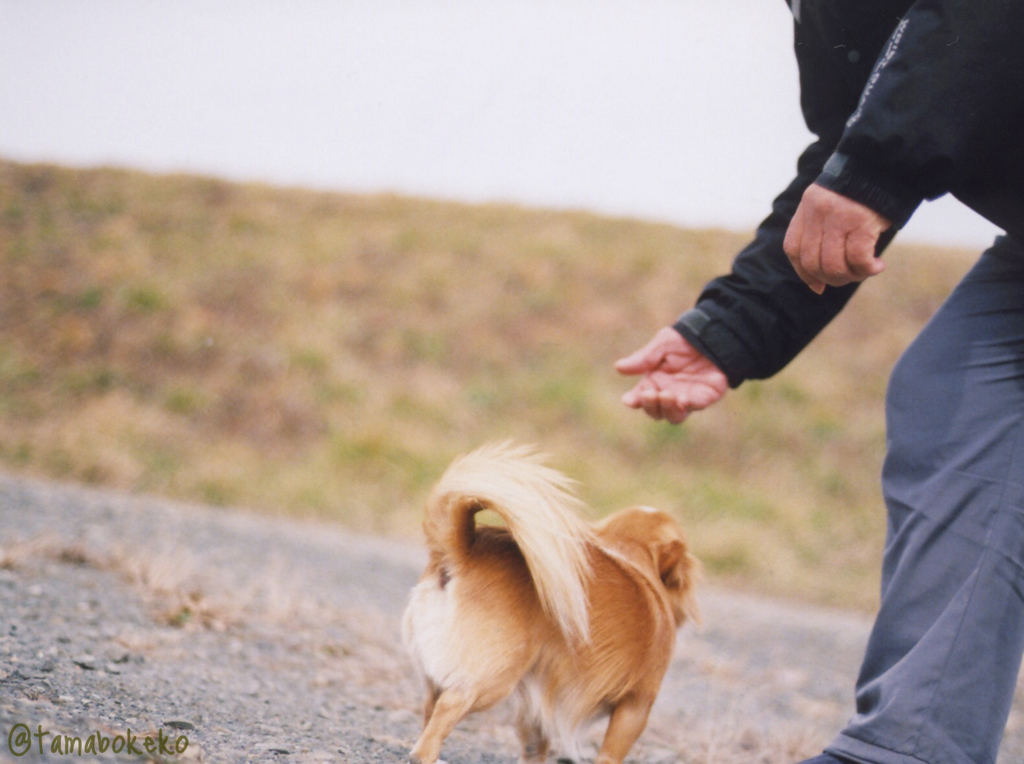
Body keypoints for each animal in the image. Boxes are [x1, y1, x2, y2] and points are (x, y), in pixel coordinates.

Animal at [403, 440, 700, 761]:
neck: (630, 553)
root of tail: (463, 551)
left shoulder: (537, 702)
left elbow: (535, 747)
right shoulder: (636, 705)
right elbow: (610, 753)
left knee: (430, 707)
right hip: (491, 680)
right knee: (448, 708)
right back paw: (426, 756)